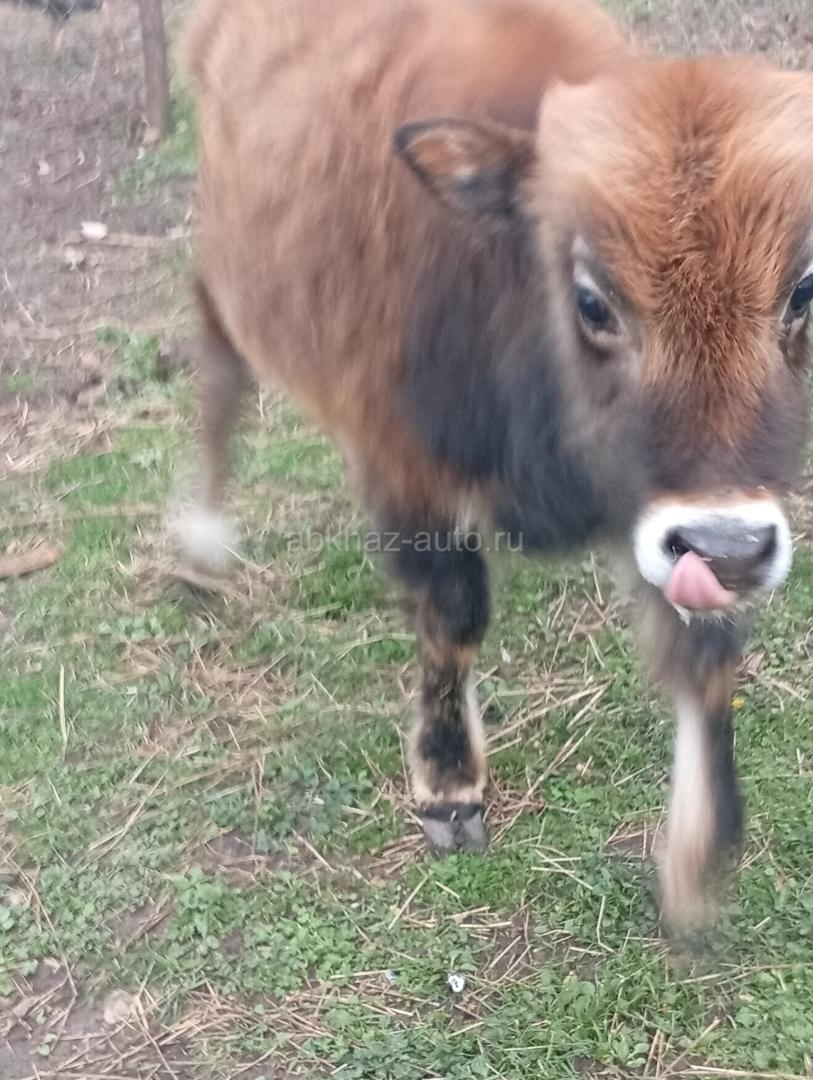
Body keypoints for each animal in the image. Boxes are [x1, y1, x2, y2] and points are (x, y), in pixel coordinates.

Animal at [180, 0, 813, 929]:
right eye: (590, 299)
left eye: (801, 290)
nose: (728, 550)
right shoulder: (404, 468)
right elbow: (452, 615)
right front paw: (449, 790)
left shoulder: (666, 514)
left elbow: (702, 652)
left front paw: (698, 861)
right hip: (229, 274)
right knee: (218, 368)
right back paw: (198, 548)